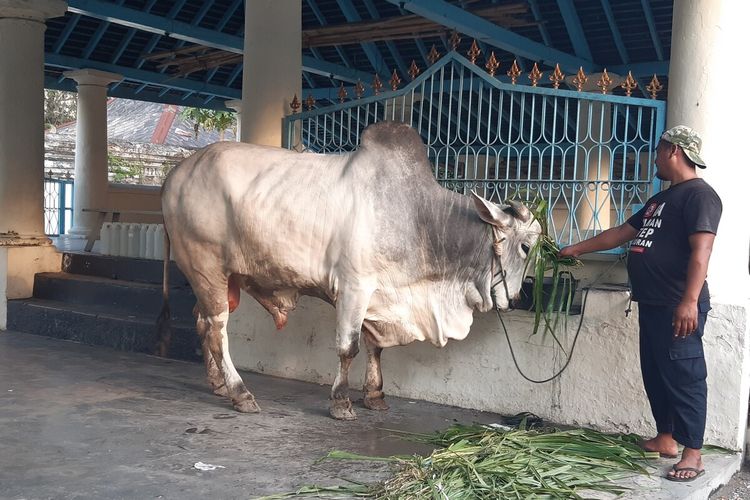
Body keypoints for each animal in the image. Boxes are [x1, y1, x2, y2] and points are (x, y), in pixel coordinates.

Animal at [159, 122, 544, 422]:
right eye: (526, 246)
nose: (517, 298)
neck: (419, 220)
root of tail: (176, 173)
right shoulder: (353, 287)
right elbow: (350, 347)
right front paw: (341, 402)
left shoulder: (380, 295)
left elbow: (376, 347)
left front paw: (374, 396)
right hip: (206, 268)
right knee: (217, 329)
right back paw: (240, 392)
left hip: (222, 281)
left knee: (203, 322)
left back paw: (218, 384)